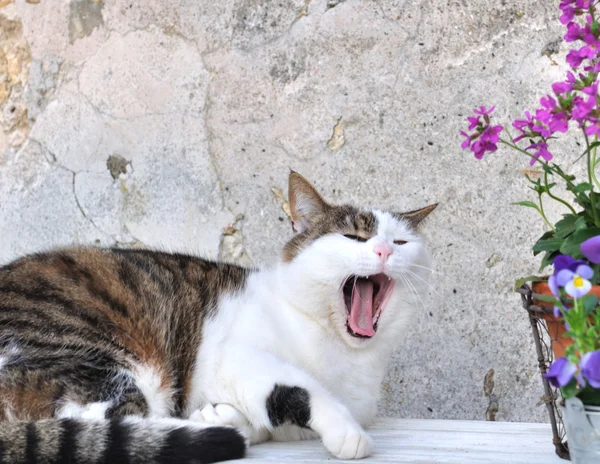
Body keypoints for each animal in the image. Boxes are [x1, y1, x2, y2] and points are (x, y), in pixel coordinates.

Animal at [0, 173, 436, 464]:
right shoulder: (239, 358)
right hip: (95, 356)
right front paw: (347, 431)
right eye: (354, 238)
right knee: (103, 419)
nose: (384, 251)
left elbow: (268, 415)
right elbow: (298, 390)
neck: (342, 352)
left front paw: (224, 413)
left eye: (401, 241)